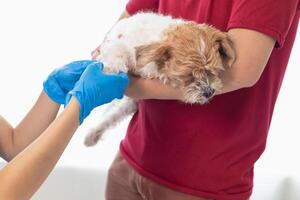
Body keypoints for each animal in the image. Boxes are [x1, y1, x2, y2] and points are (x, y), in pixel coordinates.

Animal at [83, 12, 236, 147]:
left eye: (213, 71)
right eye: (188, 76)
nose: (209, 92)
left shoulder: (134, 100)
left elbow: (113, 116)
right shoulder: (119, 44)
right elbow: (117, 52)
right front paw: (110, 69)